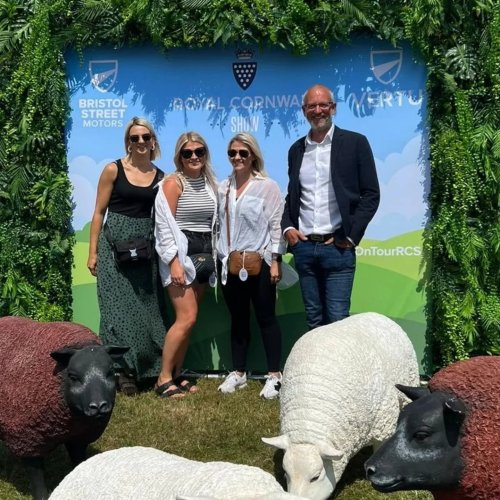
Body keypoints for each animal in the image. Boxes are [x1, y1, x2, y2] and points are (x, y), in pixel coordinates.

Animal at [0, 316, 128, 500]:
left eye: (111, 372)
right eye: (73, 376)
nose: (99, 407)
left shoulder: (79, 437)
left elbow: (79, 461)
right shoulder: (27, 440)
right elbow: (37, 480)